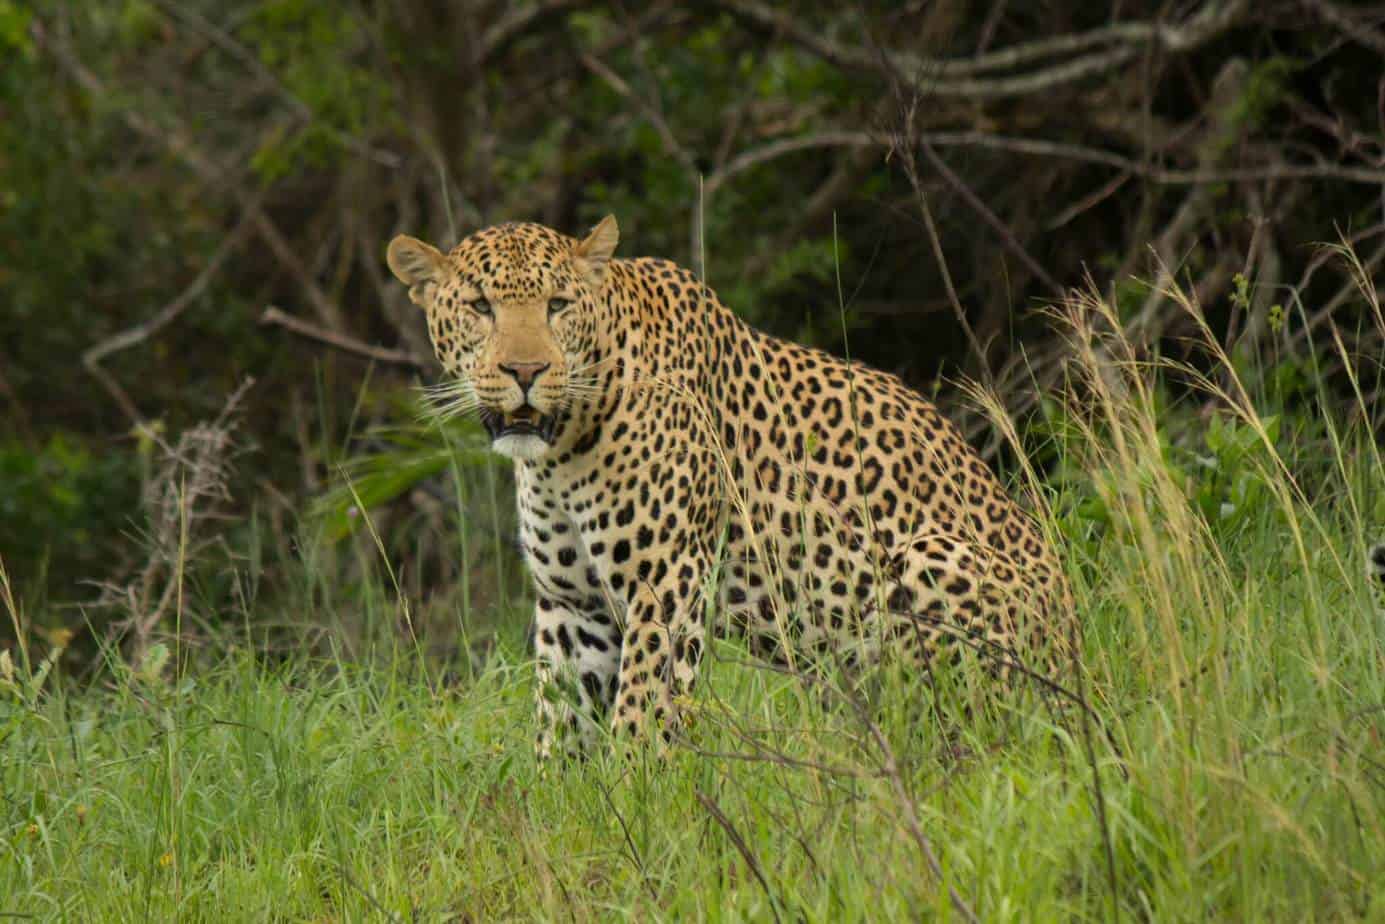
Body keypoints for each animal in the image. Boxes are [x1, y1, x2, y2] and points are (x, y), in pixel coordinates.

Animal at [385, 214, 1074, 759]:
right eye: (480, 307)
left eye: (558, 305)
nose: (525, 371)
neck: (561, 450)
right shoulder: (571, 604)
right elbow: (559, 721)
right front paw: (565, 811)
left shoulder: (664, 580)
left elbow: (641, 709)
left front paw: (639, 800)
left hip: (924, 559)